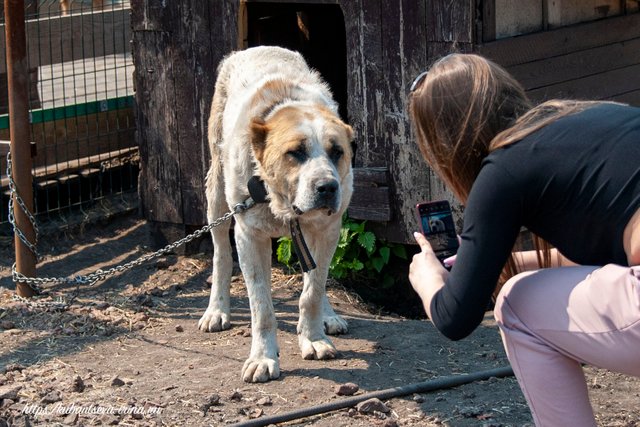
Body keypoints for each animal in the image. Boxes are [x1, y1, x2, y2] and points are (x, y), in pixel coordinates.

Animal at [198, 46, 352, 384]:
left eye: (337, 152)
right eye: (296, 152)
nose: (328, 187)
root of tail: (255, 47)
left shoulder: (328, 229)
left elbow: (313, 290)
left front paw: (314, 338)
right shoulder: (249, 236)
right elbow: (262, 307)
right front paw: (263, 358)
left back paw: (328, 315)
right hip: (216, 192)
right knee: (220, 254)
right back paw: (216, 310)